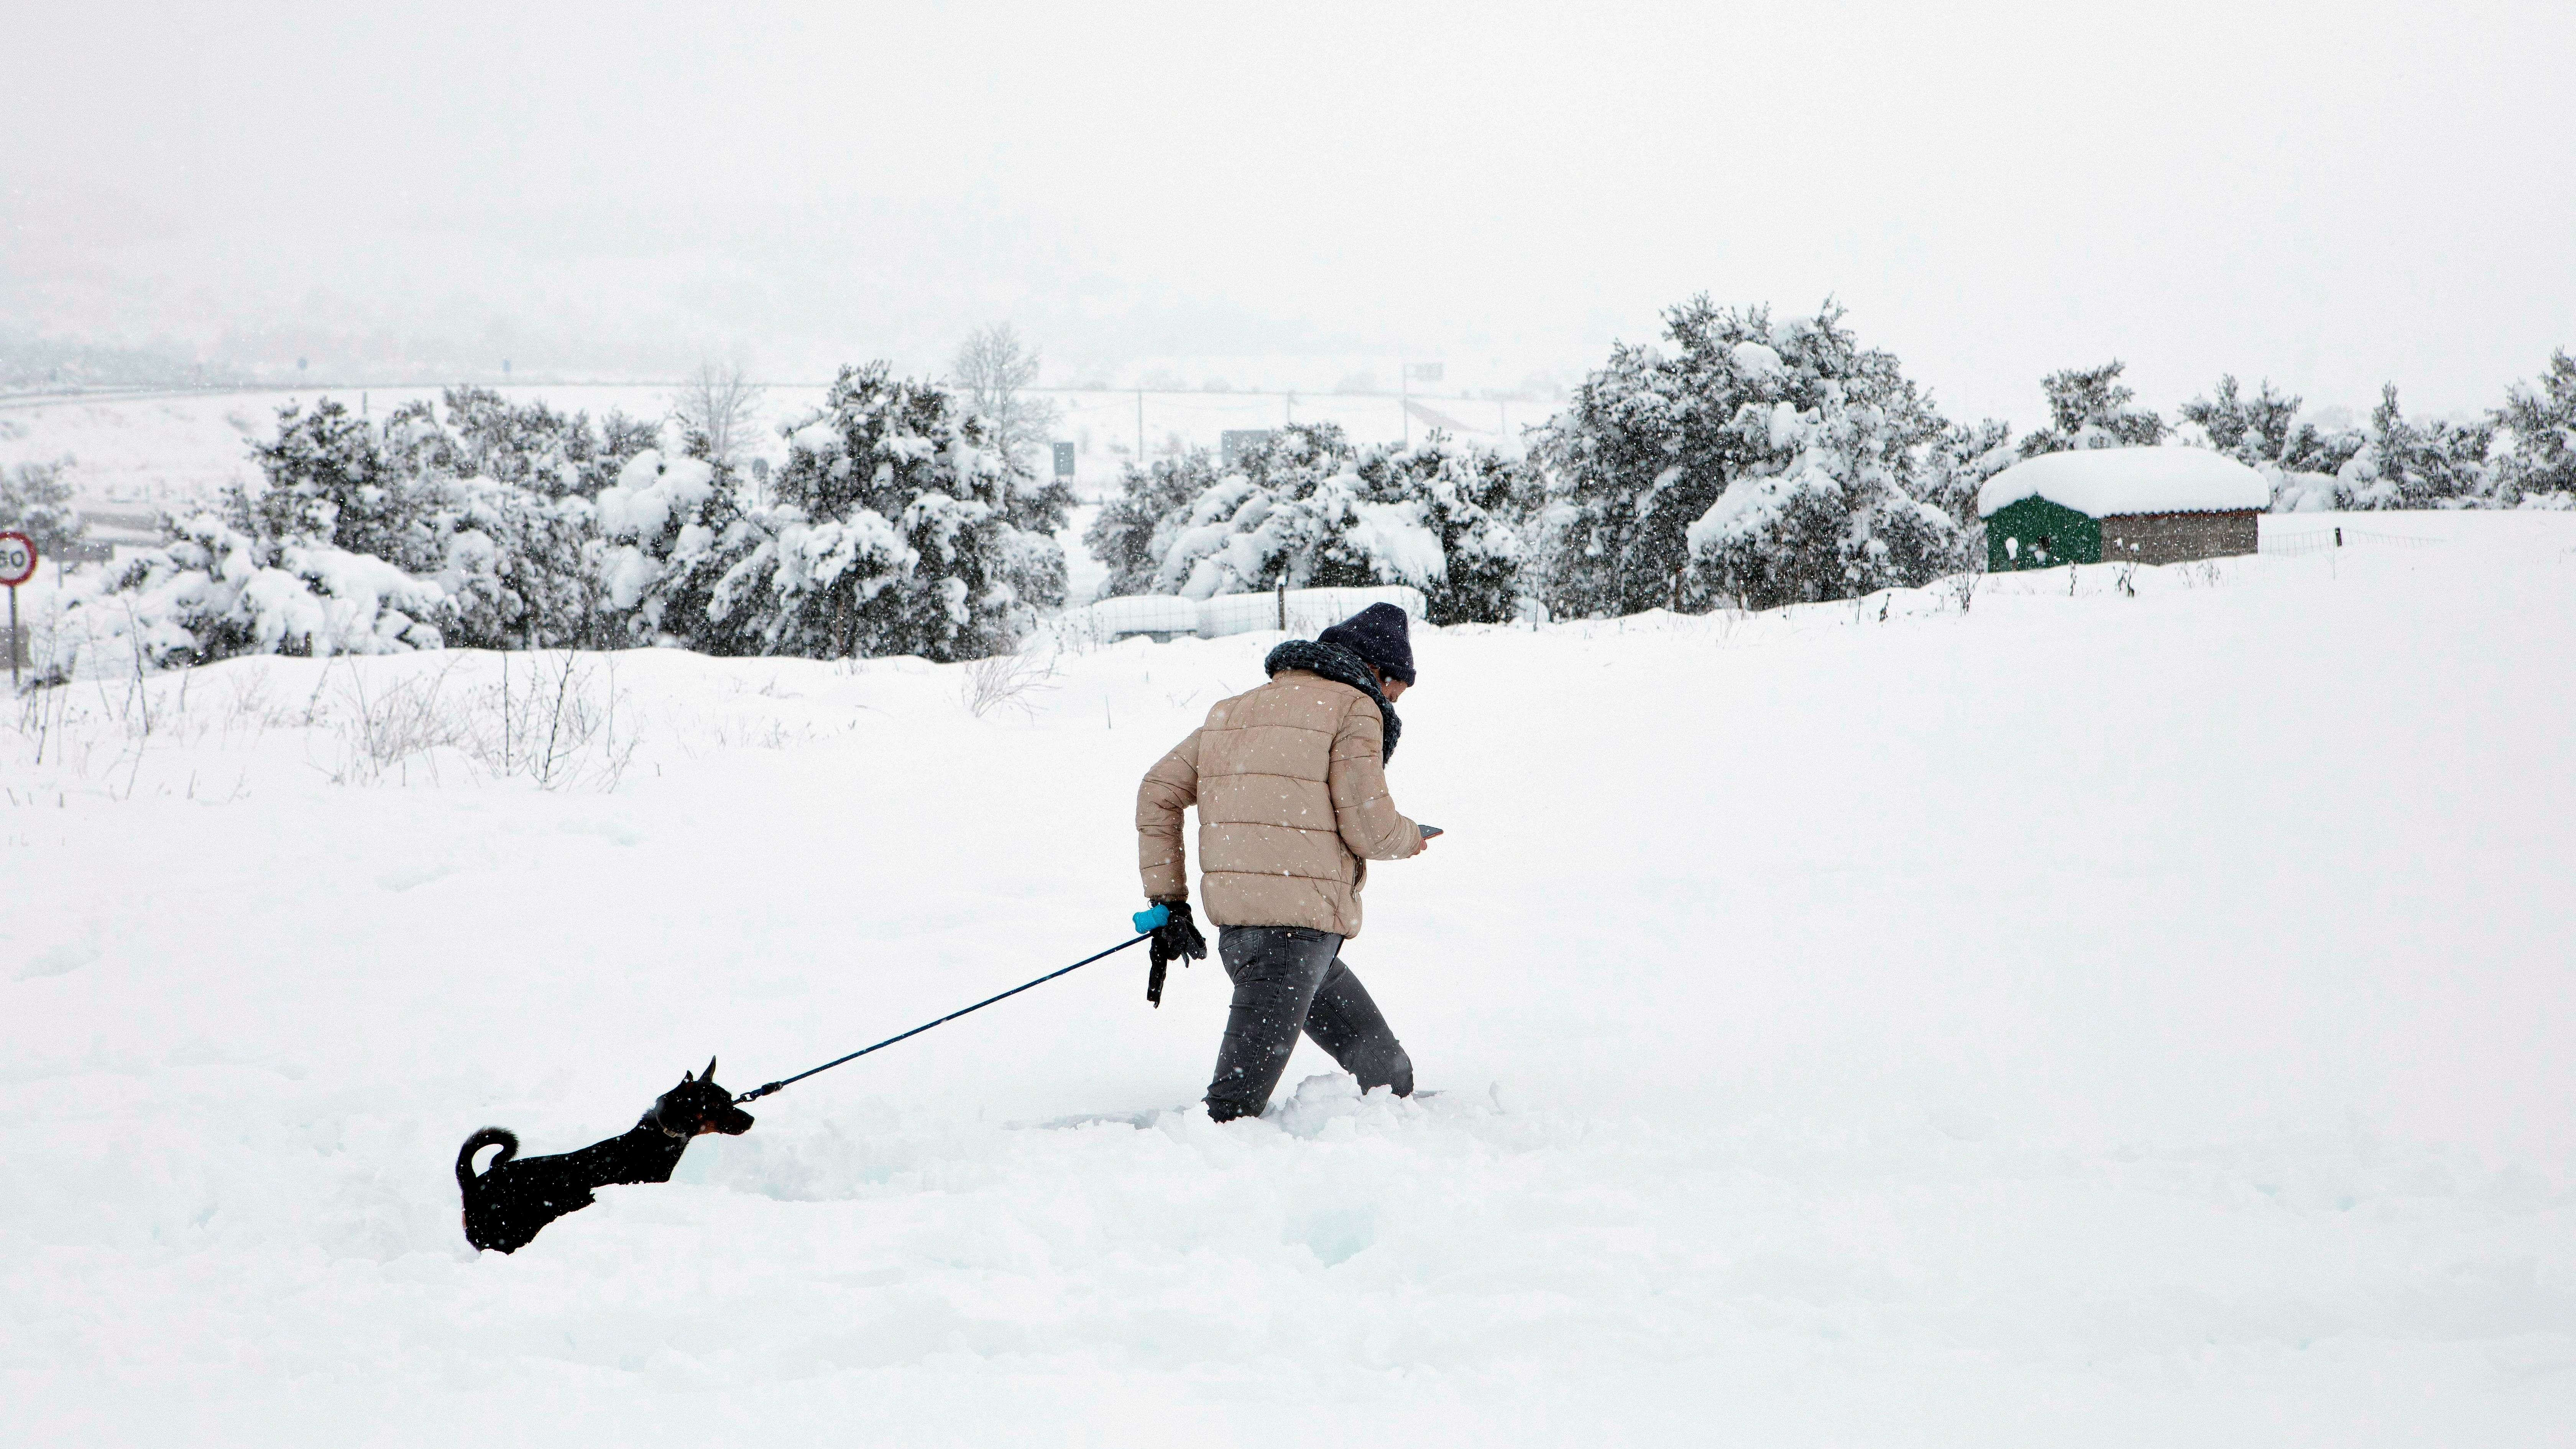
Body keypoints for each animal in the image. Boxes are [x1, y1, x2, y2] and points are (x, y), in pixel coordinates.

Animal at [458, 1057, 752, 1248]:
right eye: (718, 1106)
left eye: (730, 1100)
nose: (751, 1120)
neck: (657, 1139)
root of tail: (472, 1184)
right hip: (508, 1234)